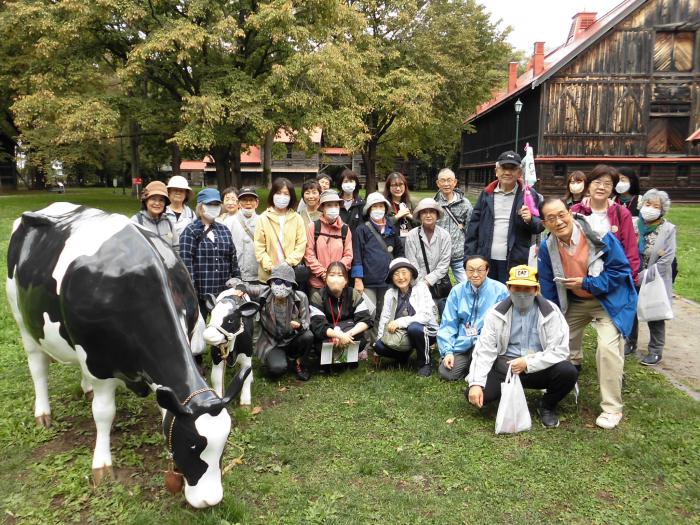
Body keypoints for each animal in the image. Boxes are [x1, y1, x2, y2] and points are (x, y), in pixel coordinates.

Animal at [6, 203, 247, 506]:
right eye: (193, 446)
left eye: (224, 445)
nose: (210, 501)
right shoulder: (98, 363)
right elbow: (103, 413)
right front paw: (101, 466)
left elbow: (165, 408)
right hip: (22, 321)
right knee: (37, 367)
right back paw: (43, 413)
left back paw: (84, 389)